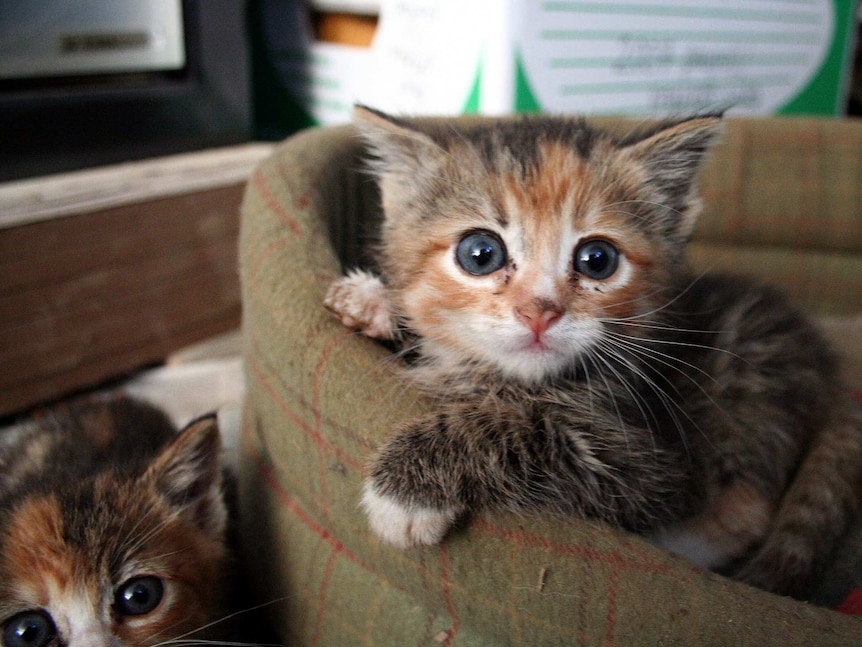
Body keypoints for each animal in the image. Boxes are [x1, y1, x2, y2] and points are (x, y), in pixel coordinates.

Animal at [324, 105, 862, 596]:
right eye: (480, 254)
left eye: (597, 260)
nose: (539, 313)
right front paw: (374, 302)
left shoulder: (649, 462)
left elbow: (527, 425)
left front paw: (403, 493)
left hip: (749, 380)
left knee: (747, 509)